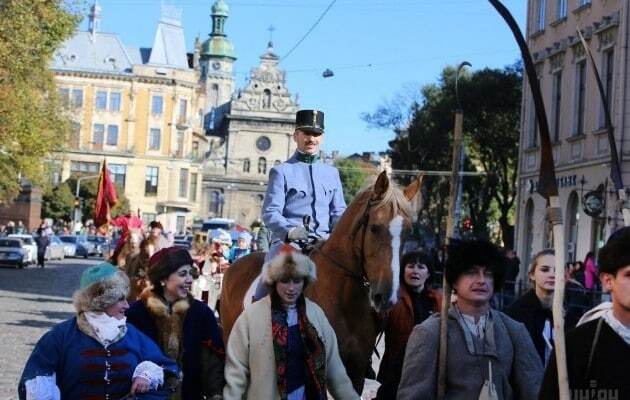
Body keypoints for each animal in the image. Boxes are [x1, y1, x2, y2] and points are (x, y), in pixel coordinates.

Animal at [220, 170, 422, 392]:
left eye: (408, 231)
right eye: (375, 228)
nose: (386, 297)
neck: (343, 298)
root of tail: (235, 265)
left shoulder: (356, 372)